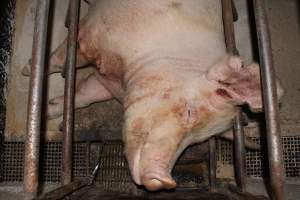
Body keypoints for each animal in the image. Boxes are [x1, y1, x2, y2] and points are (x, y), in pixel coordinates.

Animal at [22, 0, 282, 191]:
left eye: (197, 141)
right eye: (189, 112)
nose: (164, 181)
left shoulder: (106, 83)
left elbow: (85, 96)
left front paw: (49, 110)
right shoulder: (91, 31)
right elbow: (61, 60)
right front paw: (28, 70)